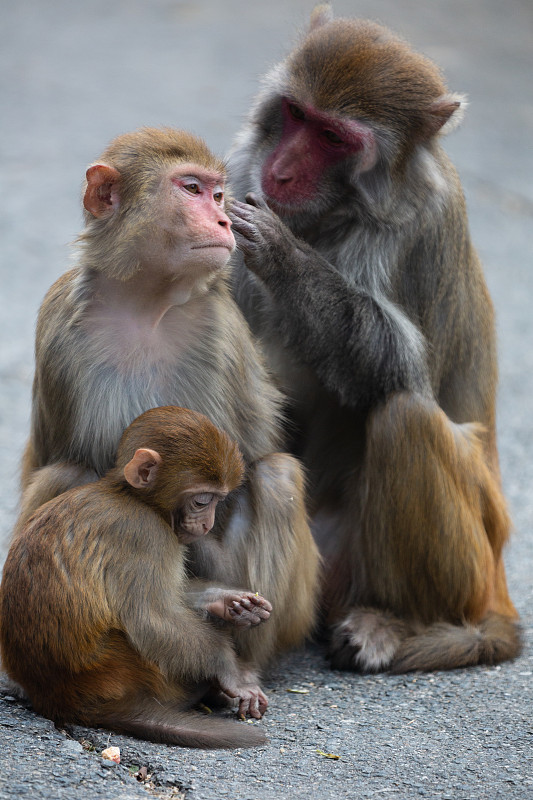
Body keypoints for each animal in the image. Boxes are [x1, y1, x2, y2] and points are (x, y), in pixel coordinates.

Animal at [0, 406, 272, 752]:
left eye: (218, 499)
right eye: (202, 500)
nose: (208, 523)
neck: (134, 498)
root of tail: (58, 696)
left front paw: (231, 602)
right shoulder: (146, 534)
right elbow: (153, 619)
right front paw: (229, 669)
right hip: (126, 670)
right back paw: (202, 691)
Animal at [17, 128, 320, 672]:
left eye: (218, 195)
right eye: (191, 189)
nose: (223, 220)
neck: (147, 304)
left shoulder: (224, 331)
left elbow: (248, 459)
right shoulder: (59, 327)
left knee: (277, 473)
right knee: (64, 473)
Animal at [229, 6, 520, 672]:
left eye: (335, 139)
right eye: (296, 114)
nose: (280, 171)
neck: (330, 216)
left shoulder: (414, 227)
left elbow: (399, 367)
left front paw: (284, 257)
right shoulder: (238, 168)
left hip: (463, 564)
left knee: (404, 416)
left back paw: (391, 620)